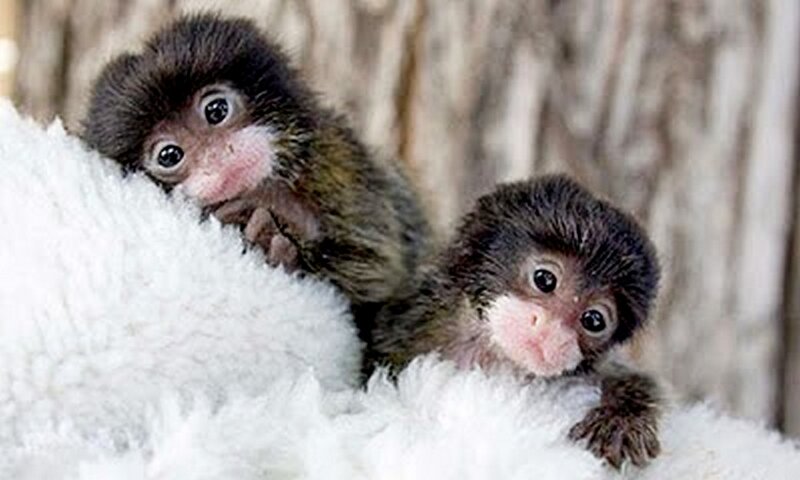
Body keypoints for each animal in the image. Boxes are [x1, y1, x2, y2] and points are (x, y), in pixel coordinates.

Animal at [81, 14, 433, 345]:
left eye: (216, 110)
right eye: (169, 155)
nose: (218, 157)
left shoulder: (341, 161)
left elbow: (380, 269)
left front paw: (282, 217)